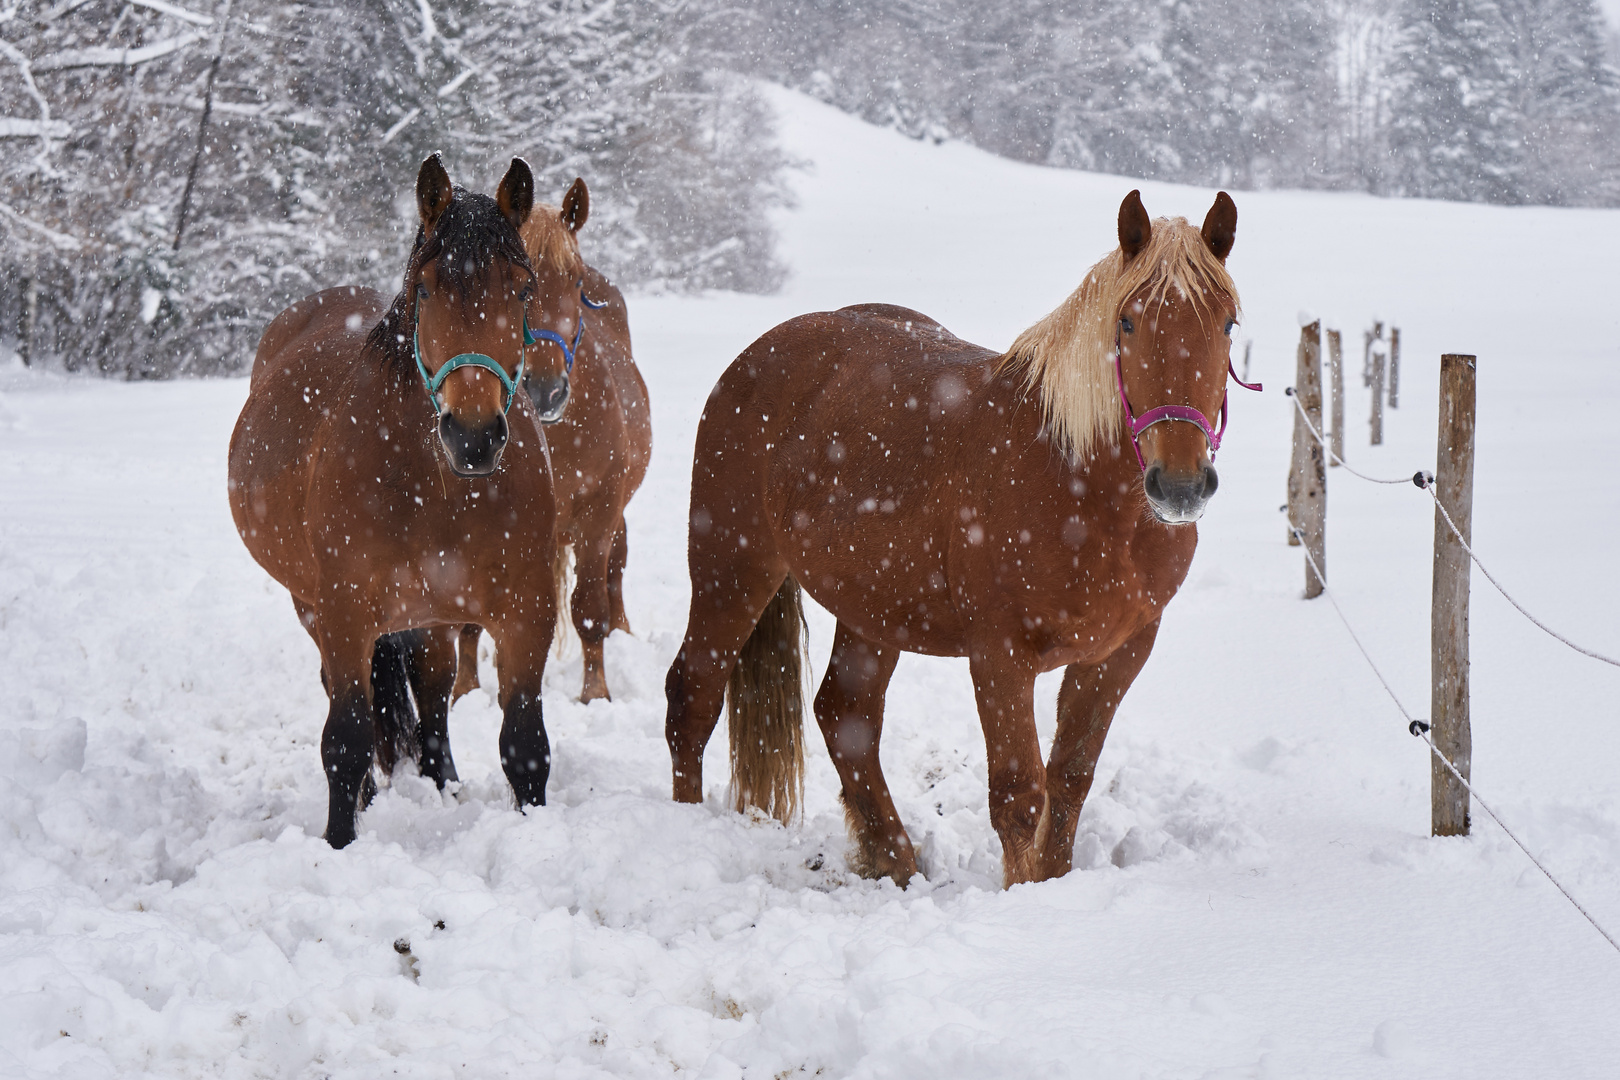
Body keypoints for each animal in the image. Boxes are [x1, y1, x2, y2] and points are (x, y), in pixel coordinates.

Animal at [450, 175, 651, 702]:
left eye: (576, 281)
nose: (545, 390)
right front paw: (465, 691)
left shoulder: (598, 513)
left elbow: (589, 607)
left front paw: (595, 692)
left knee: (617, 564)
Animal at [664, 191, 1244, 887]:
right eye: (1128, 324)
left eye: (1228, 325)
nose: (1181, 485)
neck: (1081, 489)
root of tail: (760, 354)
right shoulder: (1000, 655)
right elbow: (1020, 797)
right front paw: (1022, 894)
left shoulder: (1119, 653)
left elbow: (1071, 779)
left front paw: (1054, 885)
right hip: (731, 568)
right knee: (692, 697)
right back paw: (685, 829)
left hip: (872, 607)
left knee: (845, 715)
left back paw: (895, 859)